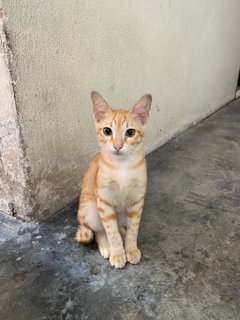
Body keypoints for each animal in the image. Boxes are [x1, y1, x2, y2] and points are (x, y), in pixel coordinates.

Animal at [76, 90, 152, 268]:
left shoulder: (137, 202)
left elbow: (133, 230)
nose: (117, 146)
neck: (122, 166)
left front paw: (130, 249)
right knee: (99, 230)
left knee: (121, 227)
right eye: (107, 131)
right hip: (90, 209)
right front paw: (117, 253)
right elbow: (111, 231)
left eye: (130, 132)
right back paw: (105, 245)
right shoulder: (104, 202)